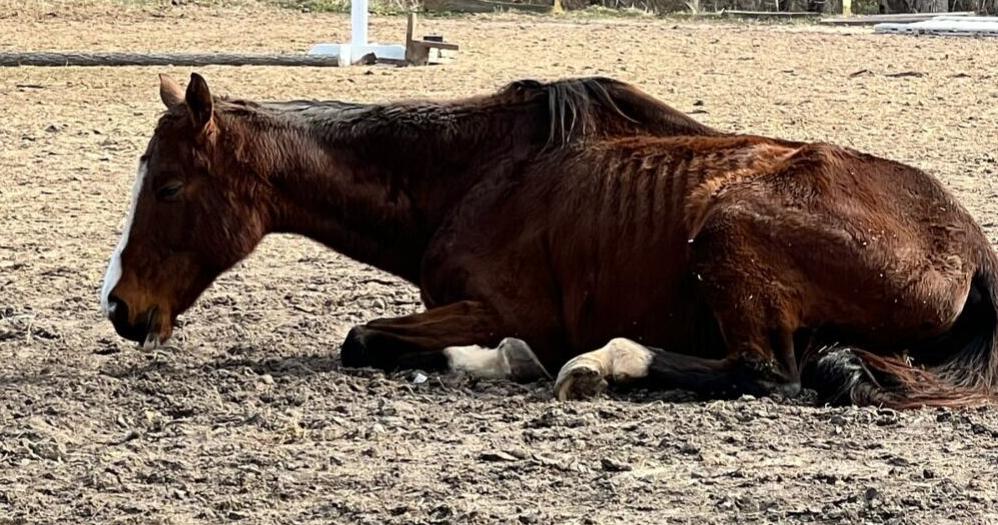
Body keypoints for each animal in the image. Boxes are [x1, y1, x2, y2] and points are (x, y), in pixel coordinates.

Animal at [100, 72, 998, 410]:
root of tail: (970, 243)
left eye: (169, 186)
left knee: (763, 371)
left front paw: (520, 357)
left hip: (726, 234)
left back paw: (604, 362)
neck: (473, 173)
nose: (119, 306)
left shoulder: (494, 305)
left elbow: (364, 338)